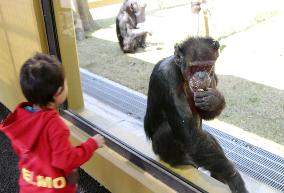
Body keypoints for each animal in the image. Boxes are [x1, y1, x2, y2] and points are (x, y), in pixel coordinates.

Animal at [144, 36, 248, 193]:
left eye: (206, 67)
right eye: (194, 67)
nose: (201, 76)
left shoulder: (213, 76)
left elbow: (205, 114)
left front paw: (214, 99)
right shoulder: (167, 77)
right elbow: (189, 133)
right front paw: (234, 178)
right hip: (158, 149)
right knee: (167, 130)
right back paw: (179, 161)